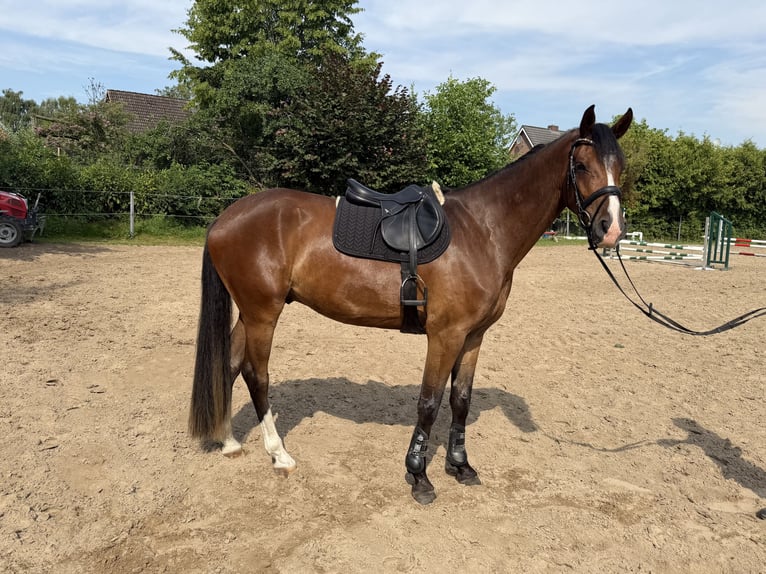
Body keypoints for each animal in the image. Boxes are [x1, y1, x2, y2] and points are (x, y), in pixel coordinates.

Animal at [189, 105, 633, 504]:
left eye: (621, 166)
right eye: (581, 166)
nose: (611, 230)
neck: (484, 230)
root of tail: (226, 218)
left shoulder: (473, 336)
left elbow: (460, 400)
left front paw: (460, 466)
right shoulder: (445, 335)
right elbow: (429, 402)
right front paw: (419, 476)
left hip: (250, 313)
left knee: (229, 363)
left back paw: (229, 442)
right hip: (263, 313)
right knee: (256, 374)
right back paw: (279, 454)